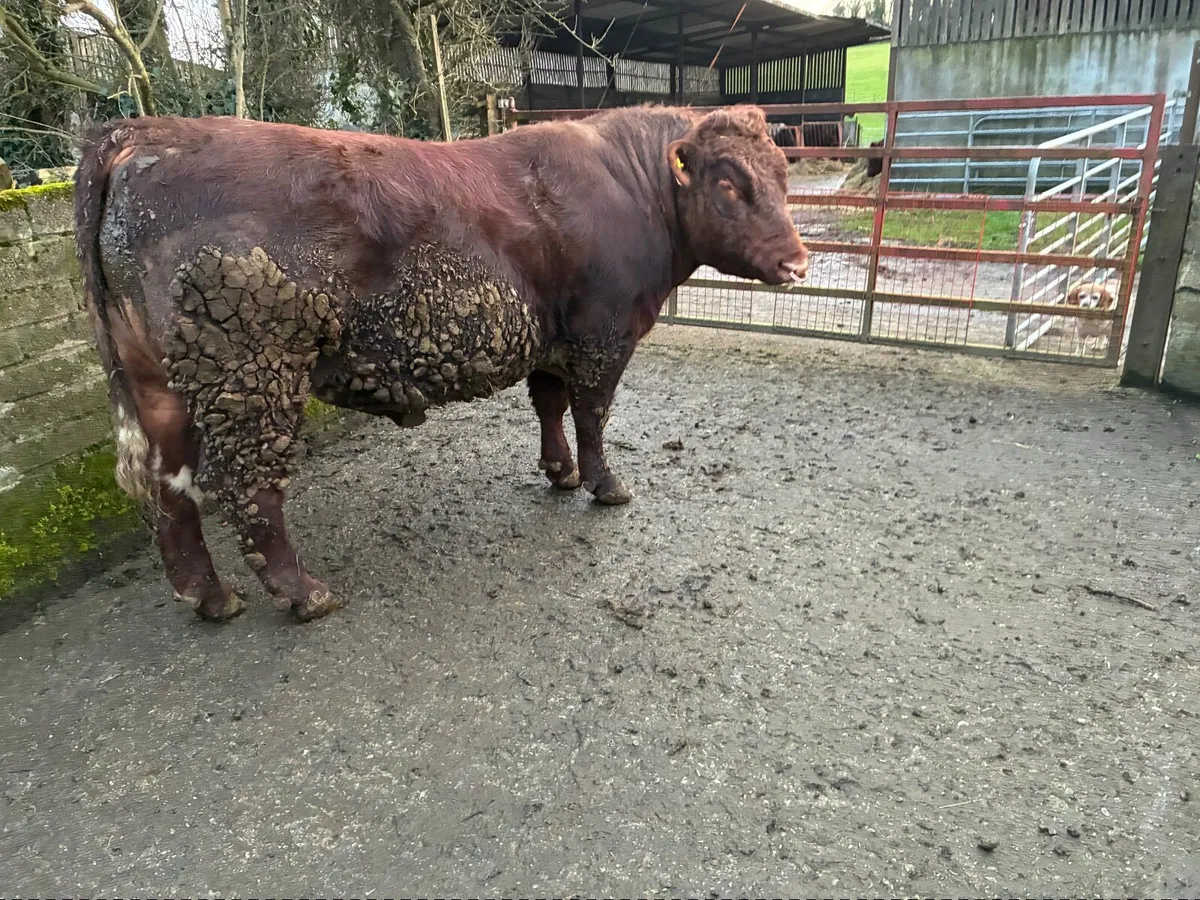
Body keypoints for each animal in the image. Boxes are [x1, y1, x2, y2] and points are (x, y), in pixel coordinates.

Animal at [75, 104, 810, 622]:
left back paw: (207, 595)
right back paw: (302, 591)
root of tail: (141, 133)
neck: (629, 183)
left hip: (159, 383)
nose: (797, 262)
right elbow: (592, 415)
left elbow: (550, 403)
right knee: (241, 483)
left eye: (782, 177)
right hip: (251, 373)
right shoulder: (604, 335)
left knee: (164, 485)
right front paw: (604, 484)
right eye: (729, 184)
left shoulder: (553, 335)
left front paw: (560, 471)